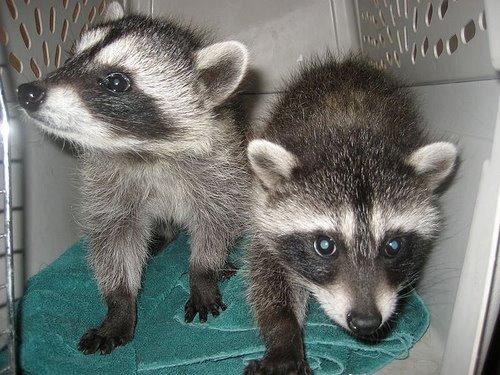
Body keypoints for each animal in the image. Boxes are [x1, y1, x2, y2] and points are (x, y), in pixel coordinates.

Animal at [17, 2, 250, 356]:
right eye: (71, 59)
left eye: (116, 82)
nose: (27, 92)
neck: (143, 149)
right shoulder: (105, 184)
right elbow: (114, 239)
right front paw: (119, 304)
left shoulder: (219, 168)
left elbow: (216, 221)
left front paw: (203, 271)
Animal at [243, 55, 458, 374]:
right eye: (325, 245)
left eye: (393, 246)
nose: (366, 322)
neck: (353, 141)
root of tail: (346, 63)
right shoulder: (262, 207)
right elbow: (268, 271)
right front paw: (283, 334)